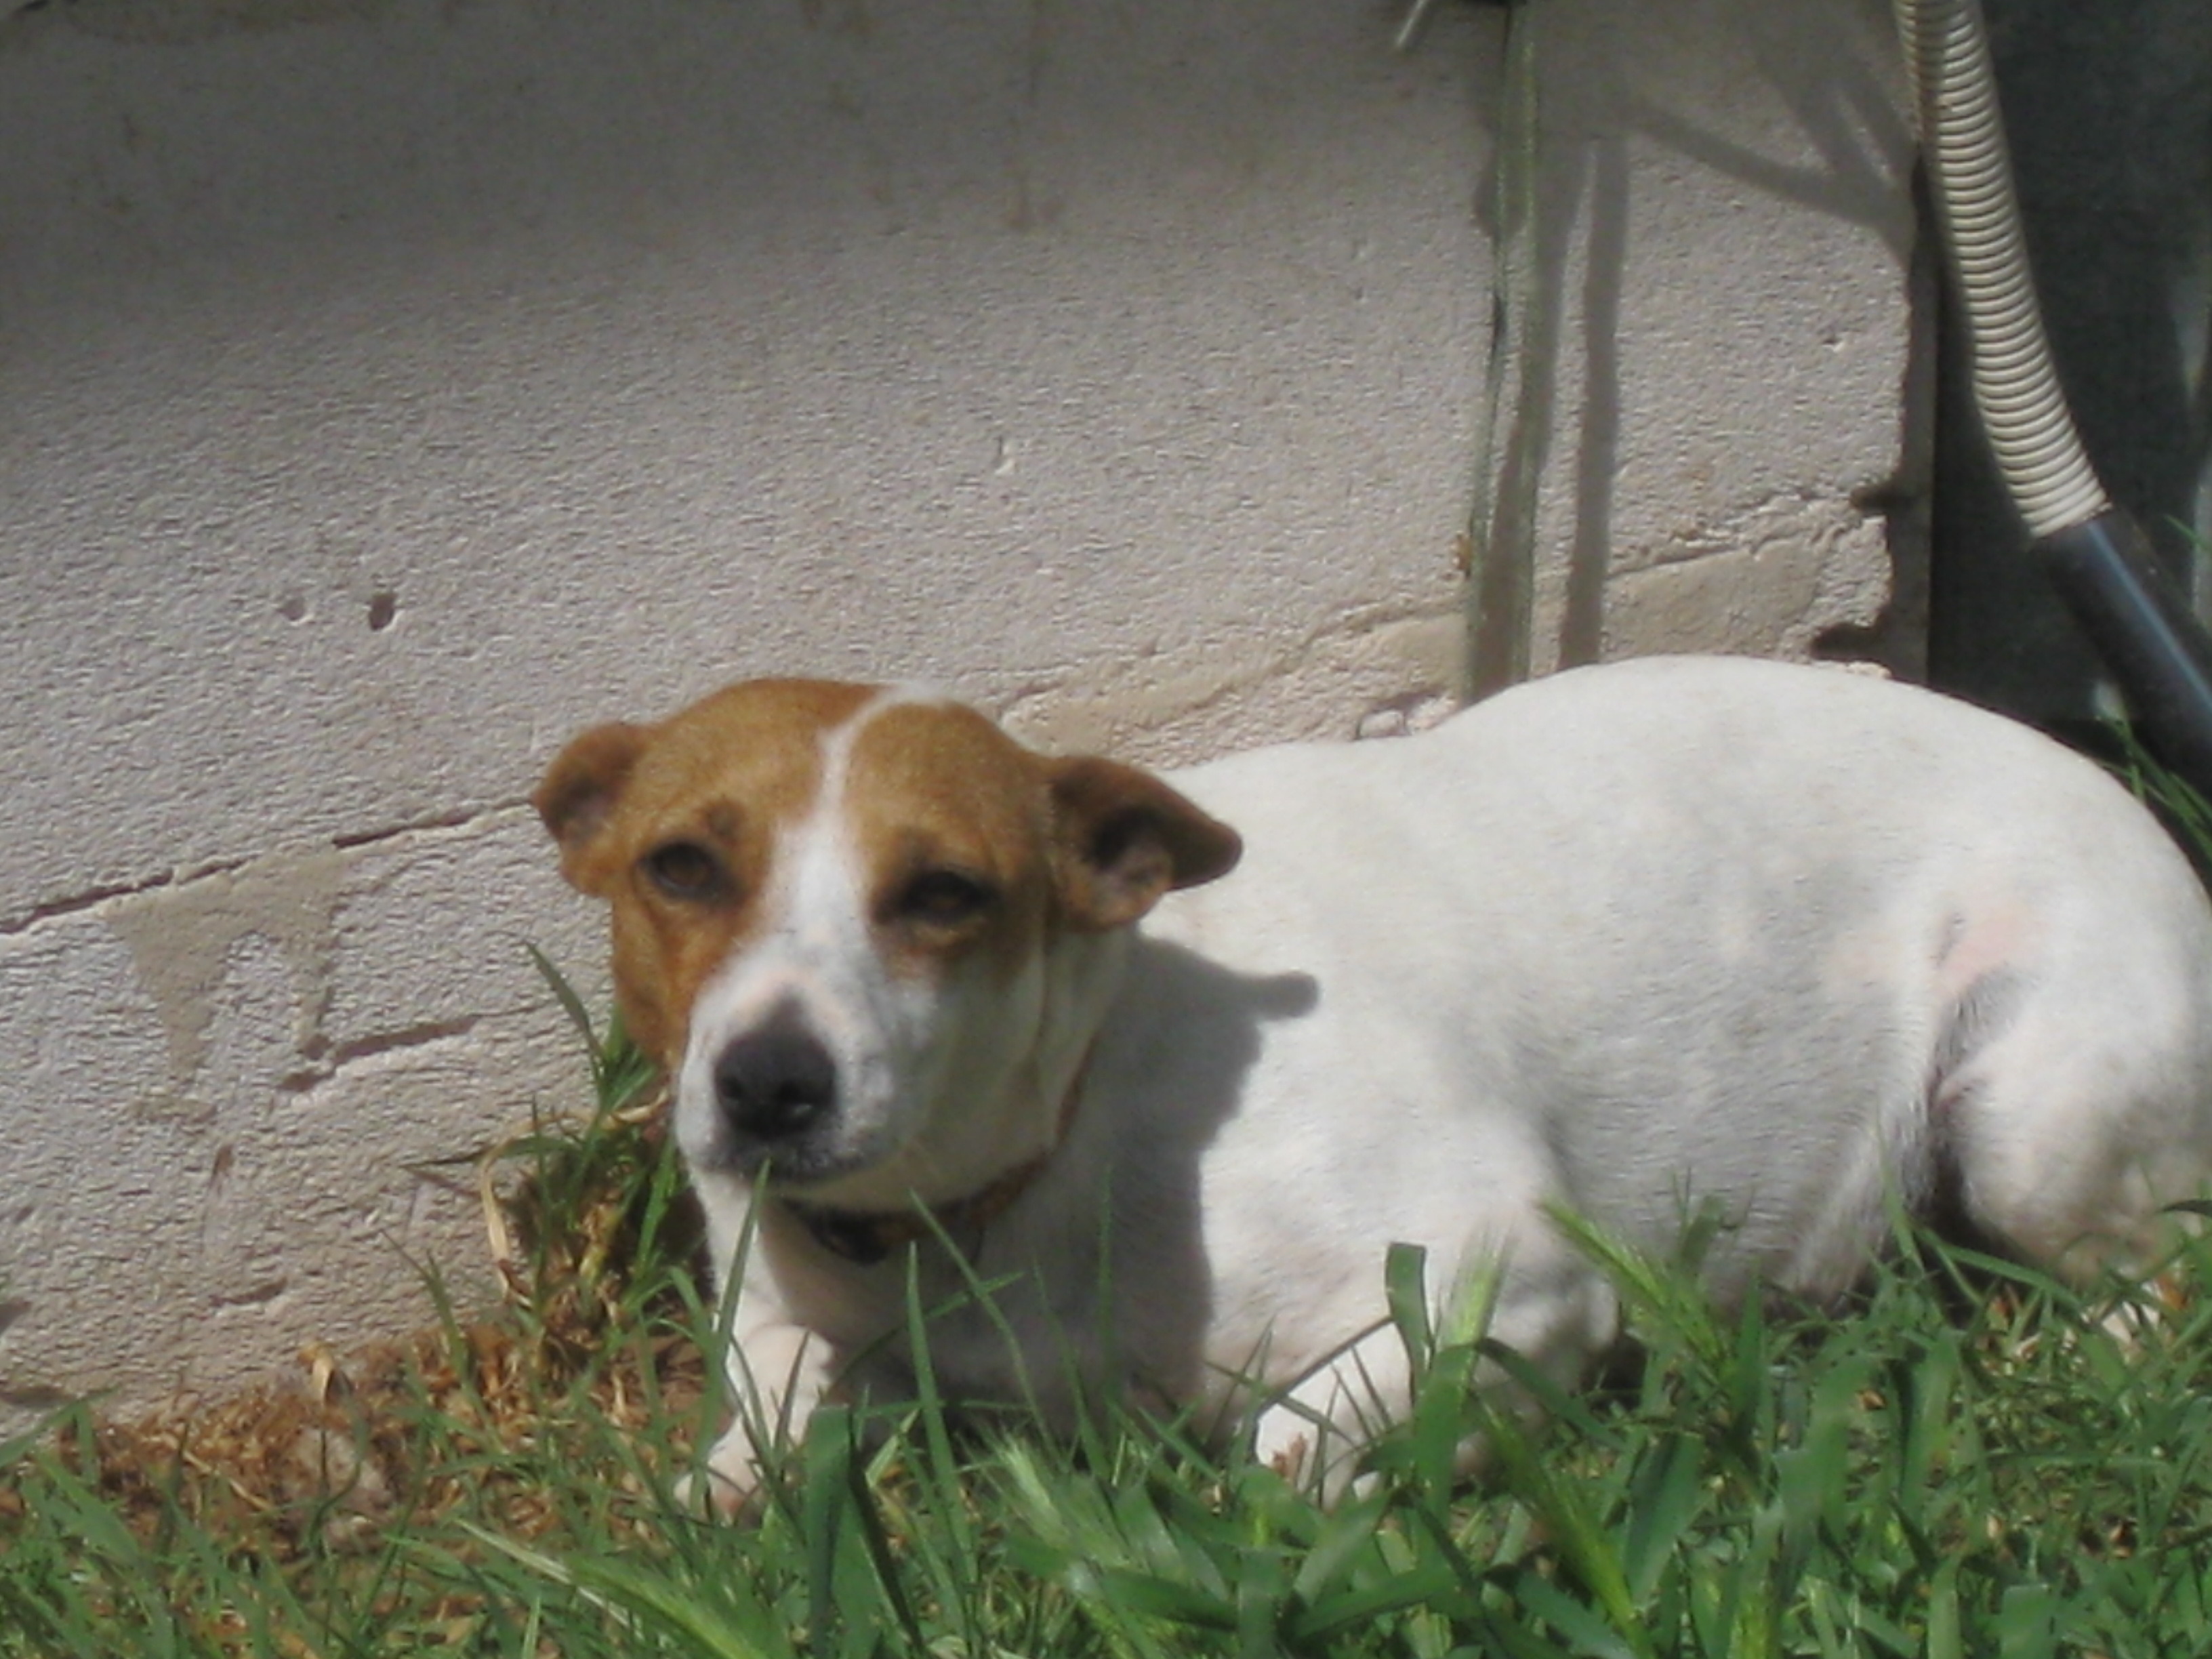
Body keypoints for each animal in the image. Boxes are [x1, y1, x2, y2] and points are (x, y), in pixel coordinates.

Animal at [535, 654, 2212, 1510]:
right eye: (681, 866)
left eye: (944, 893)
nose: (770, 1085)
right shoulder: (788, 1316)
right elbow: (765, 1417)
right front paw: (732, 1488)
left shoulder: (1520, 1278)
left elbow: (1285, 1447)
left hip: (2031, 1111)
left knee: (2159, 1280)